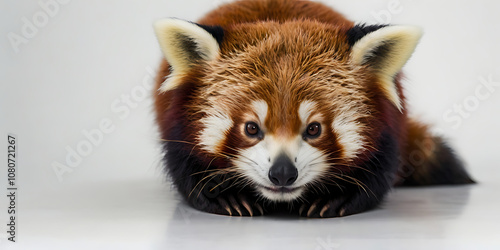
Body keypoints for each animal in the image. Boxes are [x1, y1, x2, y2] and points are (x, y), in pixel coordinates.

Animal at [151, 0, 472, 217]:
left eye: (314, 128)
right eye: (251, 128)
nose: (282, 173)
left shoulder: (387, 124)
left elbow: (377, 169)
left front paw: (336, 198)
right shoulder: (176, 118)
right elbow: (186, 165)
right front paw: (226, 197)